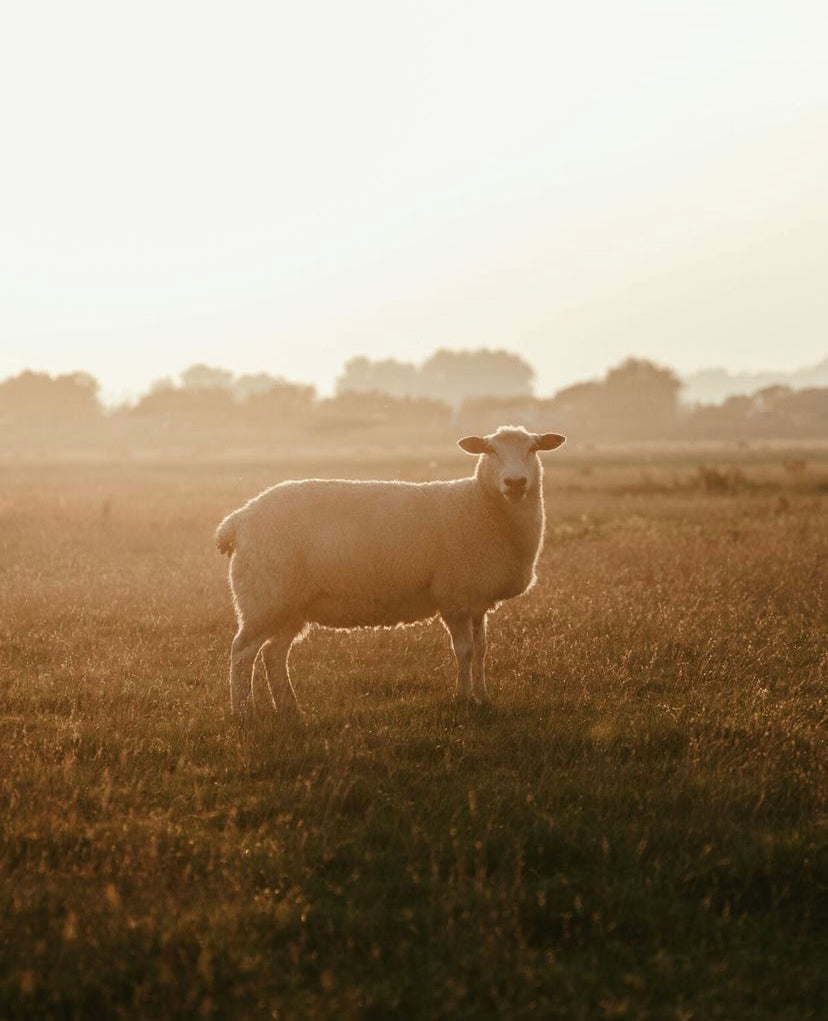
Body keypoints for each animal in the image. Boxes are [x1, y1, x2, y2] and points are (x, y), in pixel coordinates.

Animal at [213, 424, 567, 718]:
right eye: (490, 450)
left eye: (533, 448)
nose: (515, 482)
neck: (479, 505)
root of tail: (237, 520)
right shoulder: (454, 597)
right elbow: (464, 651)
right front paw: (464, 699)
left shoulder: (477, 600)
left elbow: (481, 651)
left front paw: (483, 697)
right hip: (264, 596)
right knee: (242, 653)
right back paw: (243, 713)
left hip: (291, 605)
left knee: (274, 654)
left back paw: (290, 709)